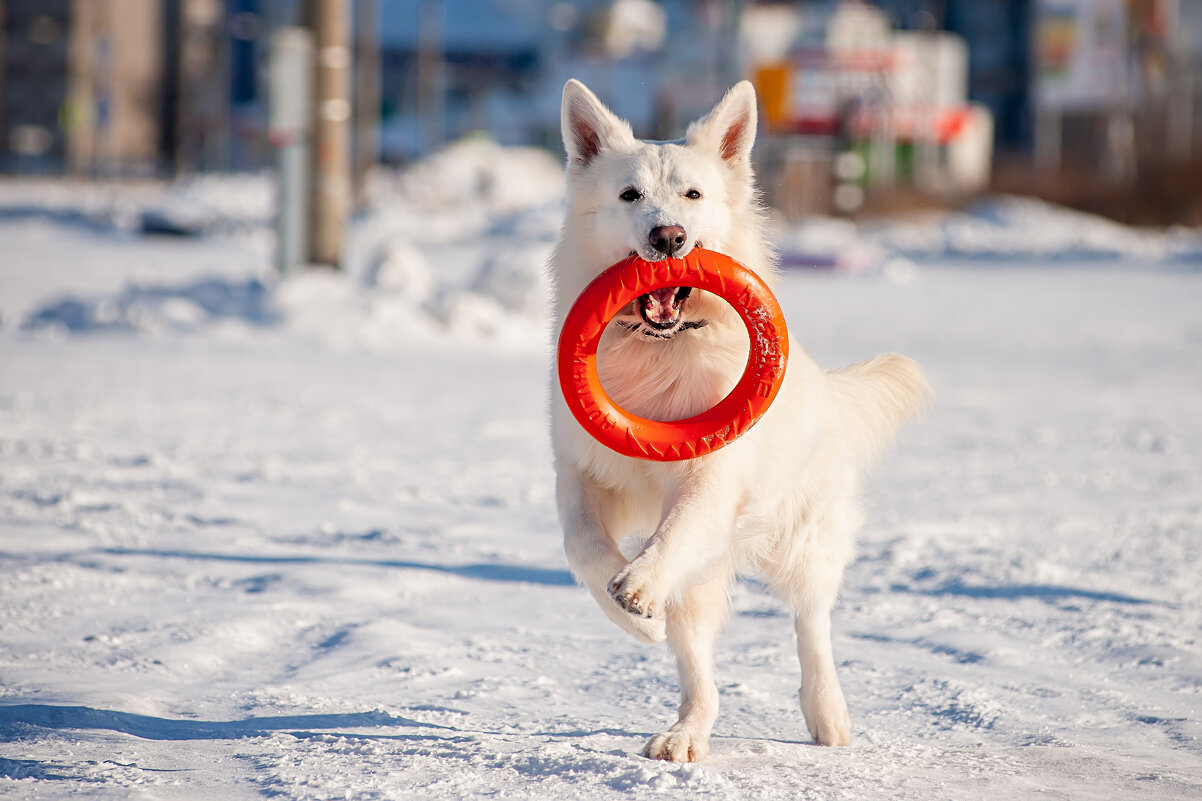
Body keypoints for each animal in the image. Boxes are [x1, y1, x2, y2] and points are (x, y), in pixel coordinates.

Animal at [545, 81, 927, 760]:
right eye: (629, 195)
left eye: (693, 196)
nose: (668, 237)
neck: (662, 348)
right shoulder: (581, 473)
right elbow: (584, 548)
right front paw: (632, 615)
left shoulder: (711, 480)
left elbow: (673, 533)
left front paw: (638, 585)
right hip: (704, 583)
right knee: (701, 672)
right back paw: (684, 735)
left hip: (805, 540)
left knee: (812, 625)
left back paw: (828, 716)